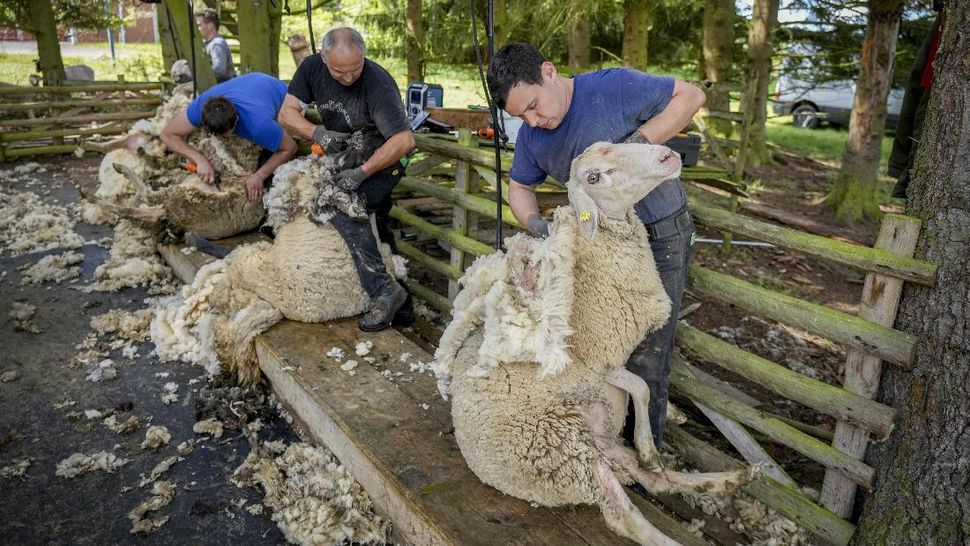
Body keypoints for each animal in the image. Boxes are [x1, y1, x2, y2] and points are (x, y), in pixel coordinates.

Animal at [432, 141, 756, 544]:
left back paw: (730, 478)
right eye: (594, 177)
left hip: (601, 446)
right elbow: (641, 387)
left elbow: (642, 390)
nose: (667, 156)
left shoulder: (610, 364)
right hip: (565, 450)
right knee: (622, 515)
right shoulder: (600, 362)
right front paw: (650, 445)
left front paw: (652, 449)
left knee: (655, 481)